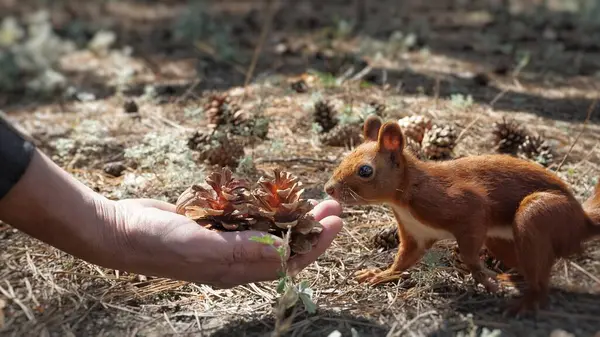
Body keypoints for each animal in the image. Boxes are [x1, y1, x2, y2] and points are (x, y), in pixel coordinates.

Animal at [324, 115, 600, 316]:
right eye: (345, 157)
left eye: (365, 170)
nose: (328, 189)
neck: (405, 196)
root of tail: (583, 219)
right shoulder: (416, 234)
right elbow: (403, 259)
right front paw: (379, 274)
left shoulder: (468, 206)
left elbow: (468, 252)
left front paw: (483, 279)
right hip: (500, 240)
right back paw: (510, 278)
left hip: (539, 214)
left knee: (541, 279)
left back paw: (526, 301)